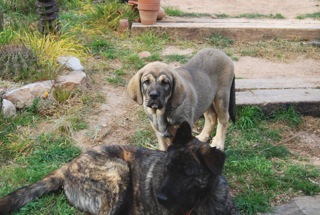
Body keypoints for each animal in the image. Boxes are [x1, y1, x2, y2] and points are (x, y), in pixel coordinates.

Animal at [0, 122, 239, 214]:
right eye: (166, 168)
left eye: (186, 174)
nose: (158, 197)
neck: (199, 201)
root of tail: (69, 166)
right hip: (118, 173)